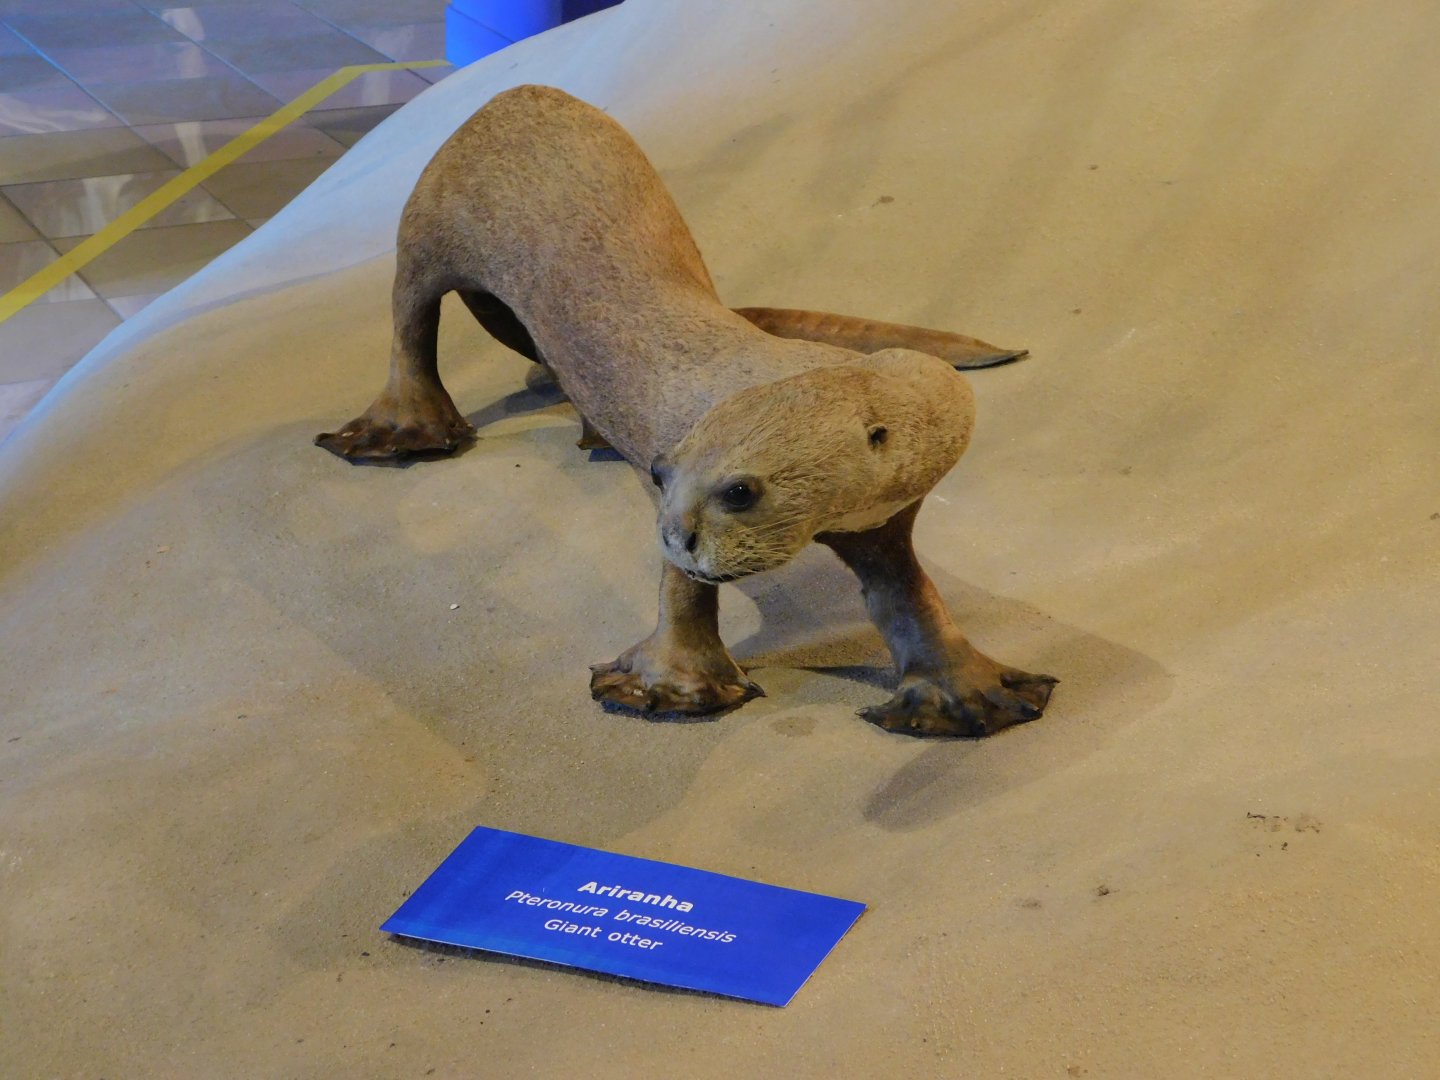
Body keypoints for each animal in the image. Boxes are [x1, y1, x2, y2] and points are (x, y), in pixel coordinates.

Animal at [316, 84, 1055, 736]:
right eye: (662, 474)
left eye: (740, 492)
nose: (677, 532)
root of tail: (509, 93)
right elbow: (682, 591)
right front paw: (663, 690)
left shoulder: (882, 517)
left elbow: (909, 598)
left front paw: (970, 699)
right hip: (428, 225)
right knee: (409, 320)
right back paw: (395, 435)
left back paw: (591, 430)